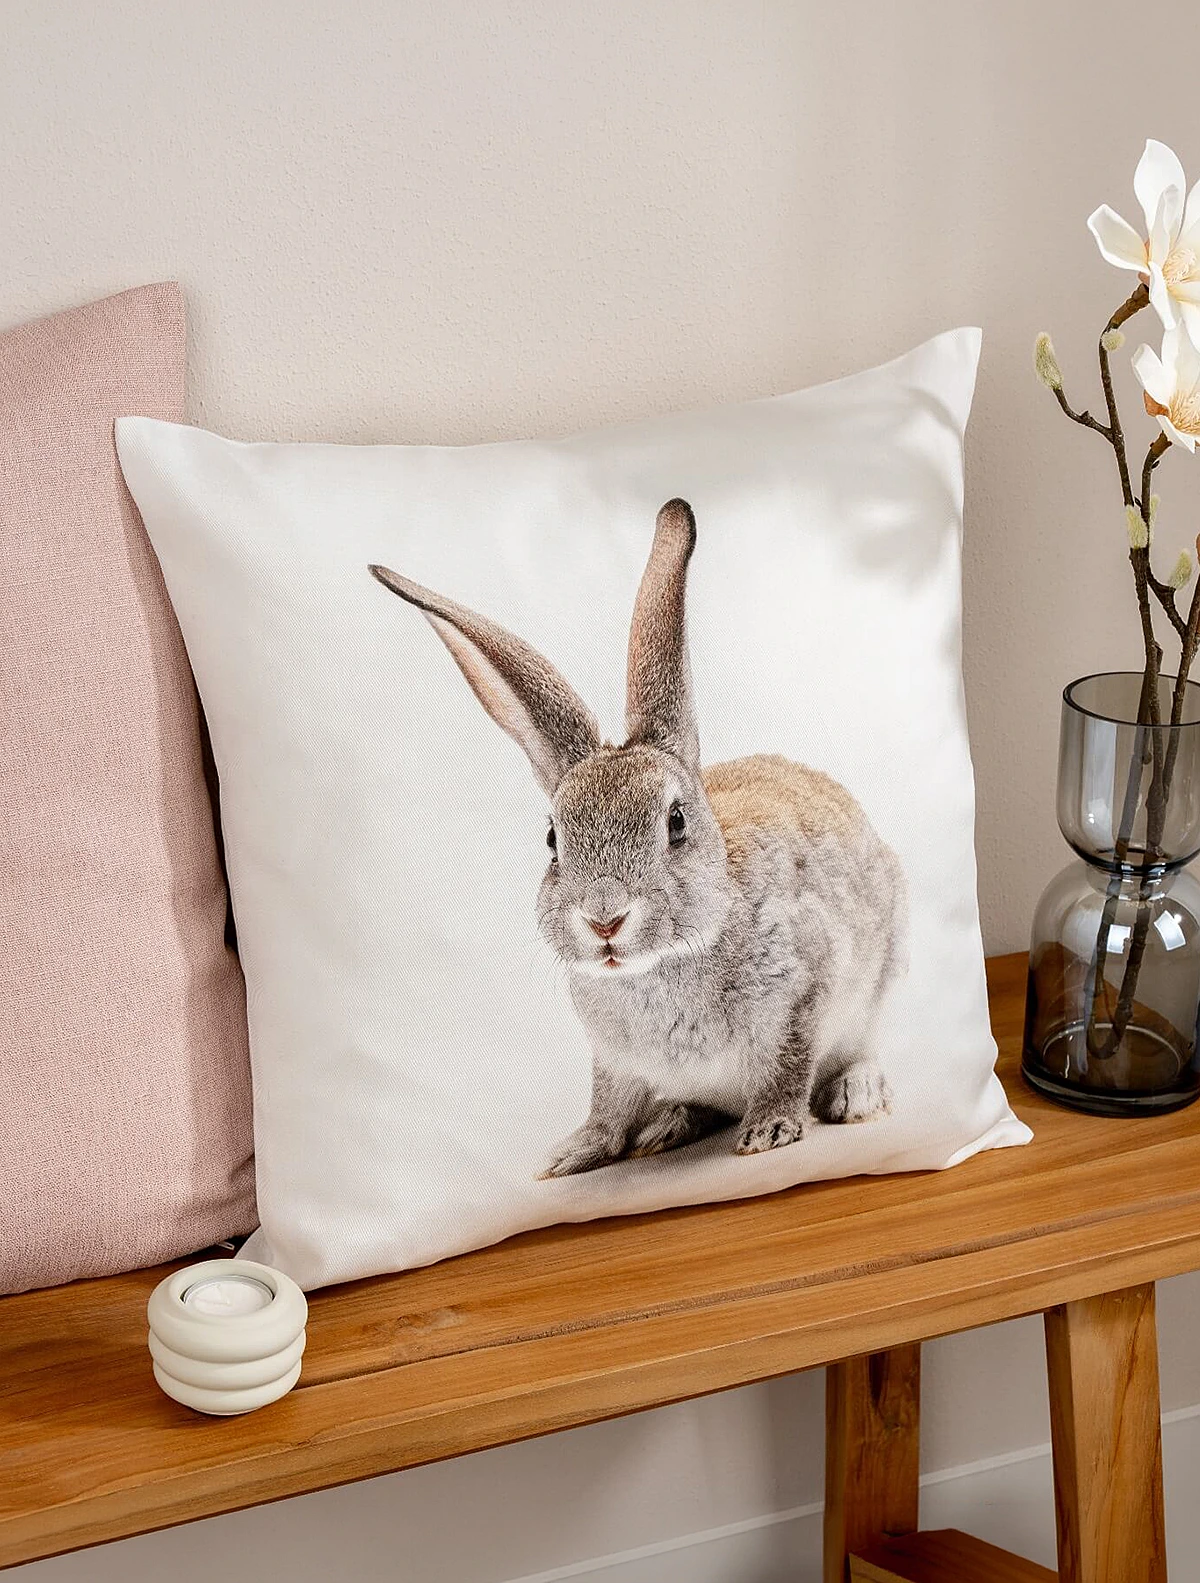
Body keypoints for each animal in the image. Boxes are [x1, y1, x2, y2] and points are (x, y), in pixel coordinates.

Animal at [369, 498, 907, 1177]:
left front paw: (770, 1131)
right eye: (553, 839)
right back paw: (667, 1124)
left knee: (860, 1046)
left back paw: (855, 1093)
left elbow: (786, 1067)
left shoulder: (805, 989)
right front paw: (572, 1154)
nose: (604, 920)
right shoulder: (613, 1060)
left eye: (675, 824)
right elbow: (607, 1105)